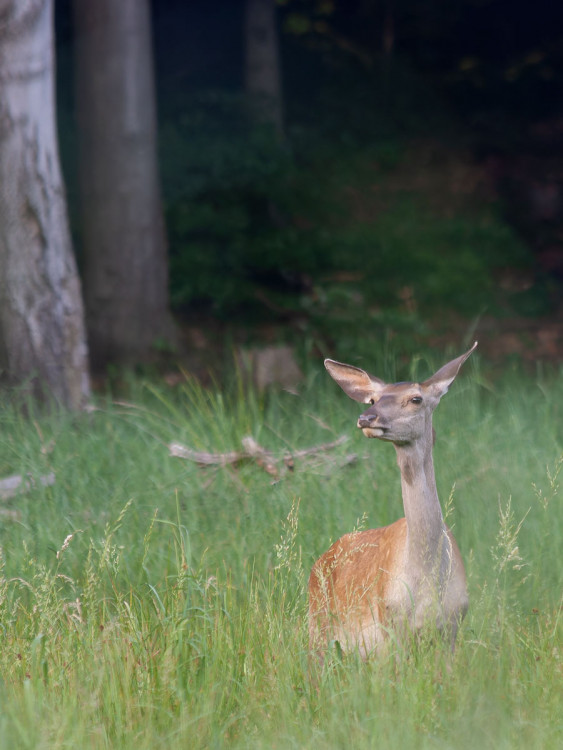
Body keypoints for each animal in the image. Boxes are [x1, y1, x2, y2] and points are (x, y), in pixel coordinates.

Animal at [310, 344, 478, 660]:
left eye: (416, 399)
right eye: (373, 399)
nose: (367, 417)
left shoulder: (453, 625)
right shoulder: (389, 627)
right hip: (317, 627)